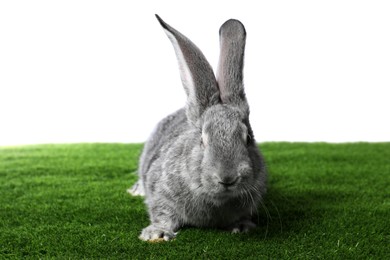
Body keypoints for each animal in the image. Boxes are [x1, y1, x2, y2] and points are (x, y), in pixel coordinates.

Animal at [129, 14, 266, 242]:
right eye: (202, 140)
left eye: (247, 139)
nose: (227, 178)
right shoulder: (161, 193)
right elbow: (162, 213)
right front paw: (157, 233)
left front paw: (243, 226)